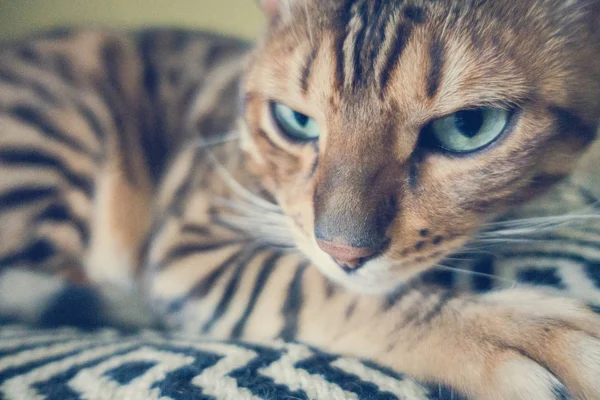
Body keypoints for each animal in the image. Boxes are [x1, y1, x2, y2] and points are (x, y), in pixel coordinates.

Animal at [1, 0, 600, 398]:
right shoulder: (192, 241)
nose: (344, 251)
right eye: (294, 121)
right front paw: (505, 331)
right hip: (58, 132)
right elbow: (313, 286)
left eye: (469, 127)